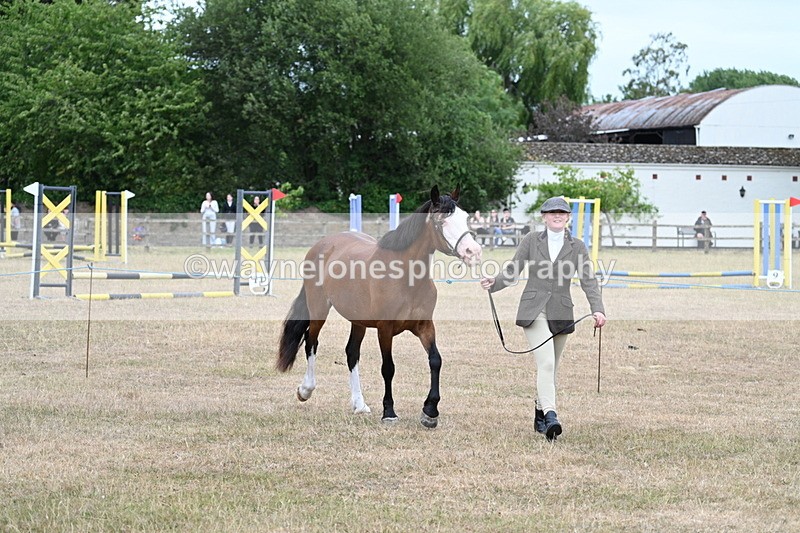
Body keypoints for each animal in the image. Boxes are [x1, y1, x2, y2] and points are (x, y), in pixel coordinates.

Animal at [276, 186, 482, 428]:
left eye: (465, 217)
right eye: (442, 221)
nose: (473, 251)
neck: (405, 277)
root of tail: (322, 245)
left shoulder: (425, 326)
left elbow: (435, 360)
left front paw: (430, 411)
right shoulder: (385, 329)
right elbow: (388, 368)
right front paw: (389, 412)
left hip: (358, 321)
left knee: (351, 353)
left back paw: (359, 404)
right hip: (319, 309)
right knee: (311, 341)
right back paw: (306, 390)